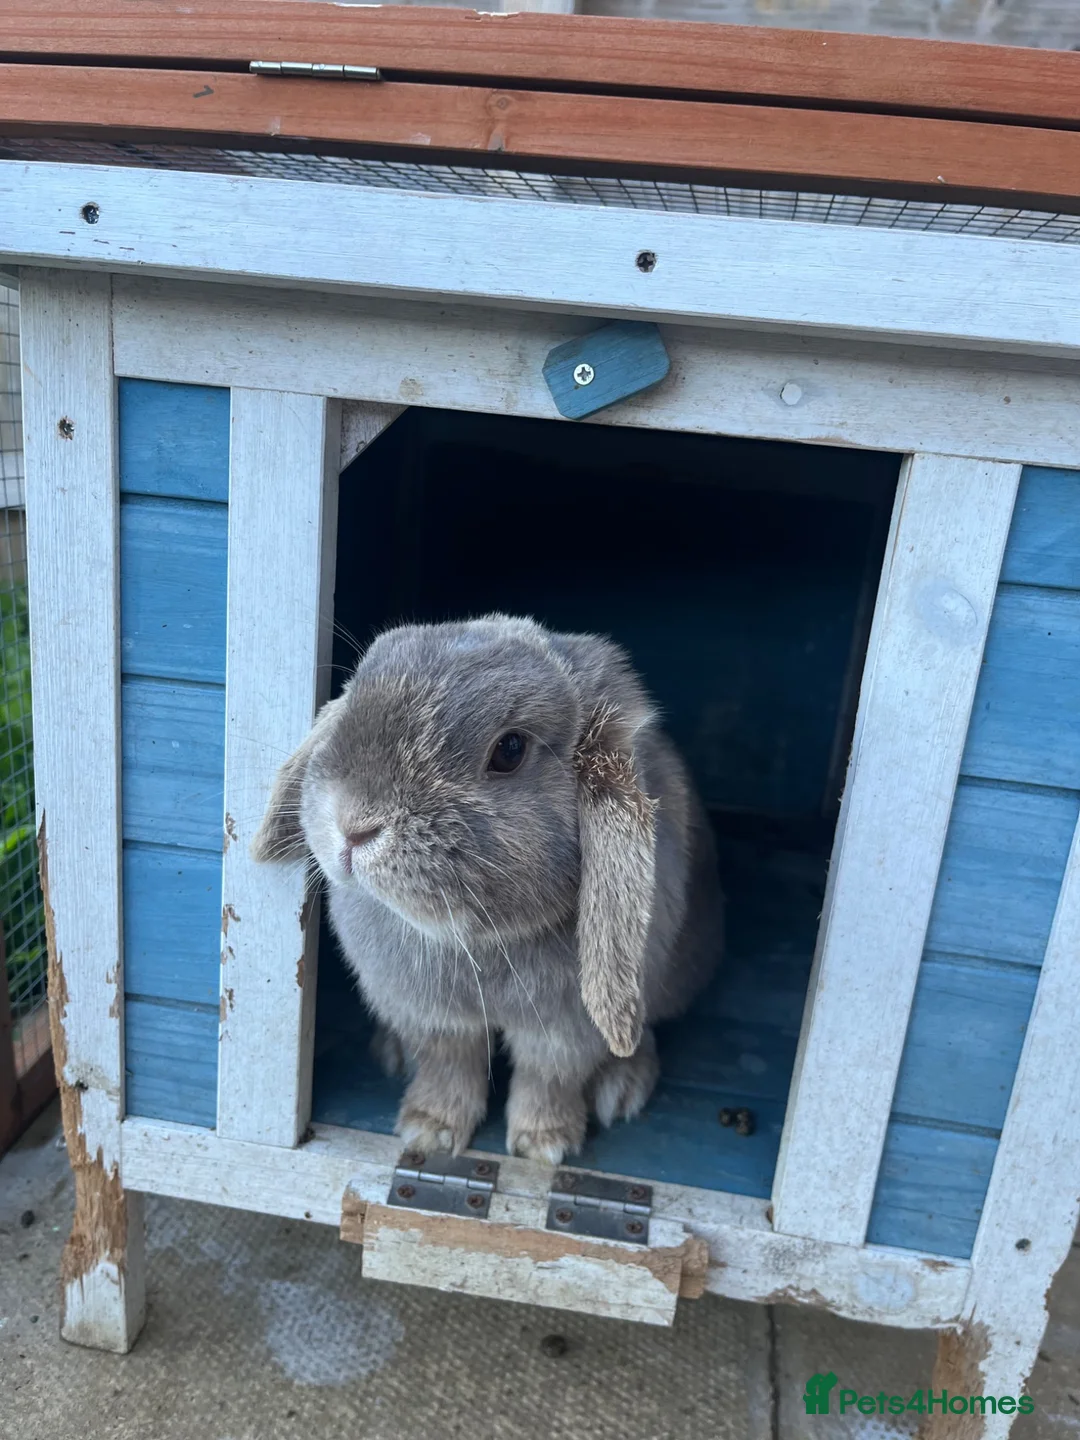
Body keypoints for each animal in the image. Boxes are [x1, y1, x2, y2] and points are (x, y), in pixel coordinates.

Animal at [252, 614, 724, 1165]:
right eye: (354, 697)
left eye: (510, 750)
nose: (353, 826)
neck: (476, 942)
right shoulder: (432, 1018)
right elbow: (448, 1068)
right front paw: (429, 1130)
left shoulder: (565, 1032)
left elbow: (548, 1079)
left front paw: (544, 1145)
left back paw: (623, 1085)